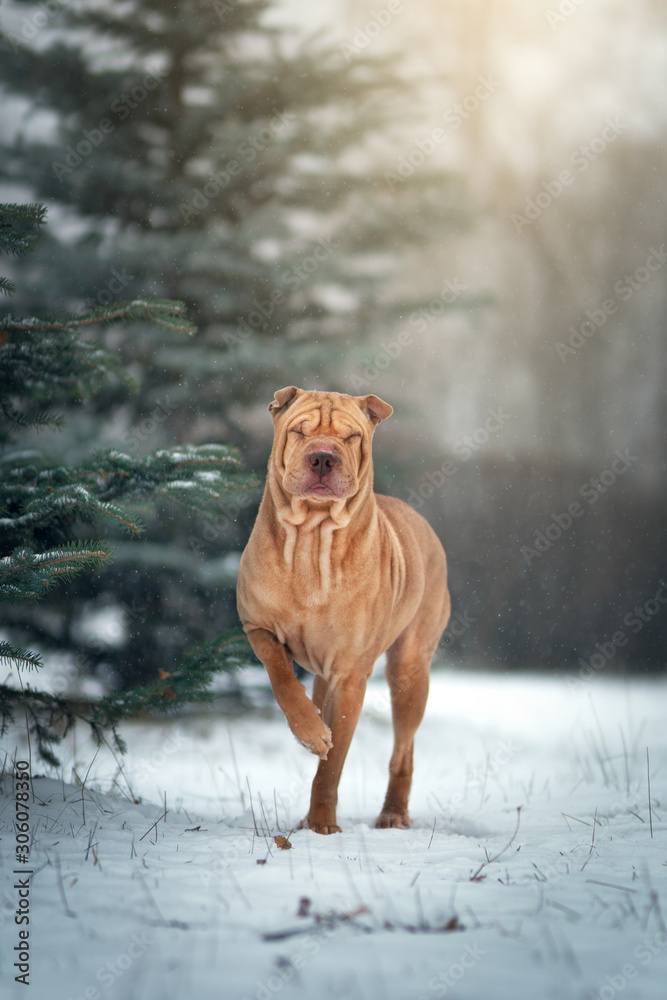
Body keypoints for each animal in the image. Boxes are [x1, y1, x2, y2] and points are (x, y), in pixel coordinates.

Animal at [237, 386, 452, 832]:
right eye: (300, 430)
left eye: (352, 436)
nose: (323, 457)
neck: (312, 537)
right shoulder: (256, 625)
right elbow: (282, 679)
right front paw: (309, 732)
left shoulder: (350, 675)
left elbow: (332, 766)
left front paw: (322, 825)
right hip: (325, 677)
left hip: (408, 671)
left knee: (403, 749)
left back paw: (393, 813)